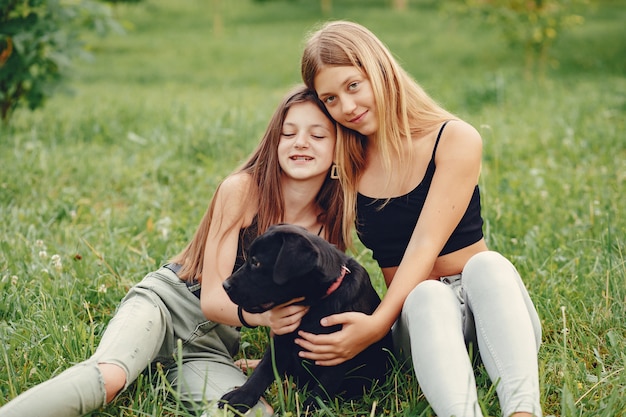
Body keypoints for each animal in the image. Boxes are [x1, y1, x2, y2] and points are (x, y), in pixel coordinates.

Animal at [218, 223, 390, 412]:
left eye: (256, 262)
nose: (225, 285)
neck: (315, 304)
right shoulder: (281, 340)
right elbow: (263, 370)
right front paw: (240, 397)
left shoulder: (339, 350)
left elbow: (324, 387)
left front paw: (310, 408)